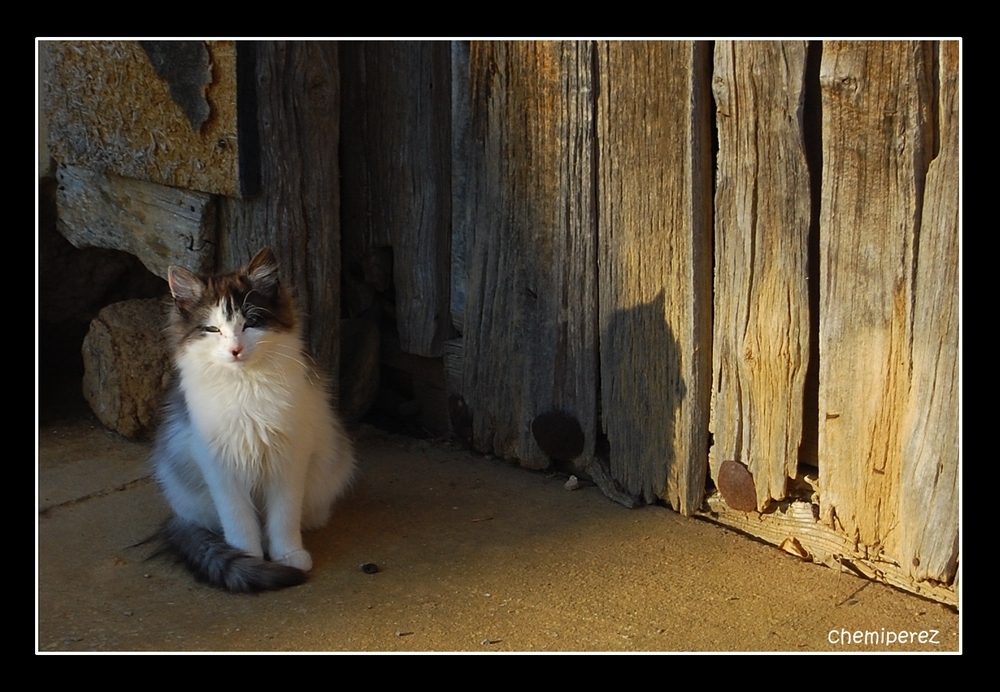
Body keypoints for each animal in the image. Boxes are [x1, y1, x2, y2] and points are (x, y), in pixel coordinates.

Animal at [154, 246, 358, 592]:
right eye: (213, 330)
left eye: (251, 323)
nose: (235, 350)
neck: (245, 386)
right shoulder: (219, 464)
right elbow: (239, 520)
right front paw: (248, 557)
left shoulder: (290, 456)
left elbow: (284, 516)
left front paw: (288, 555)